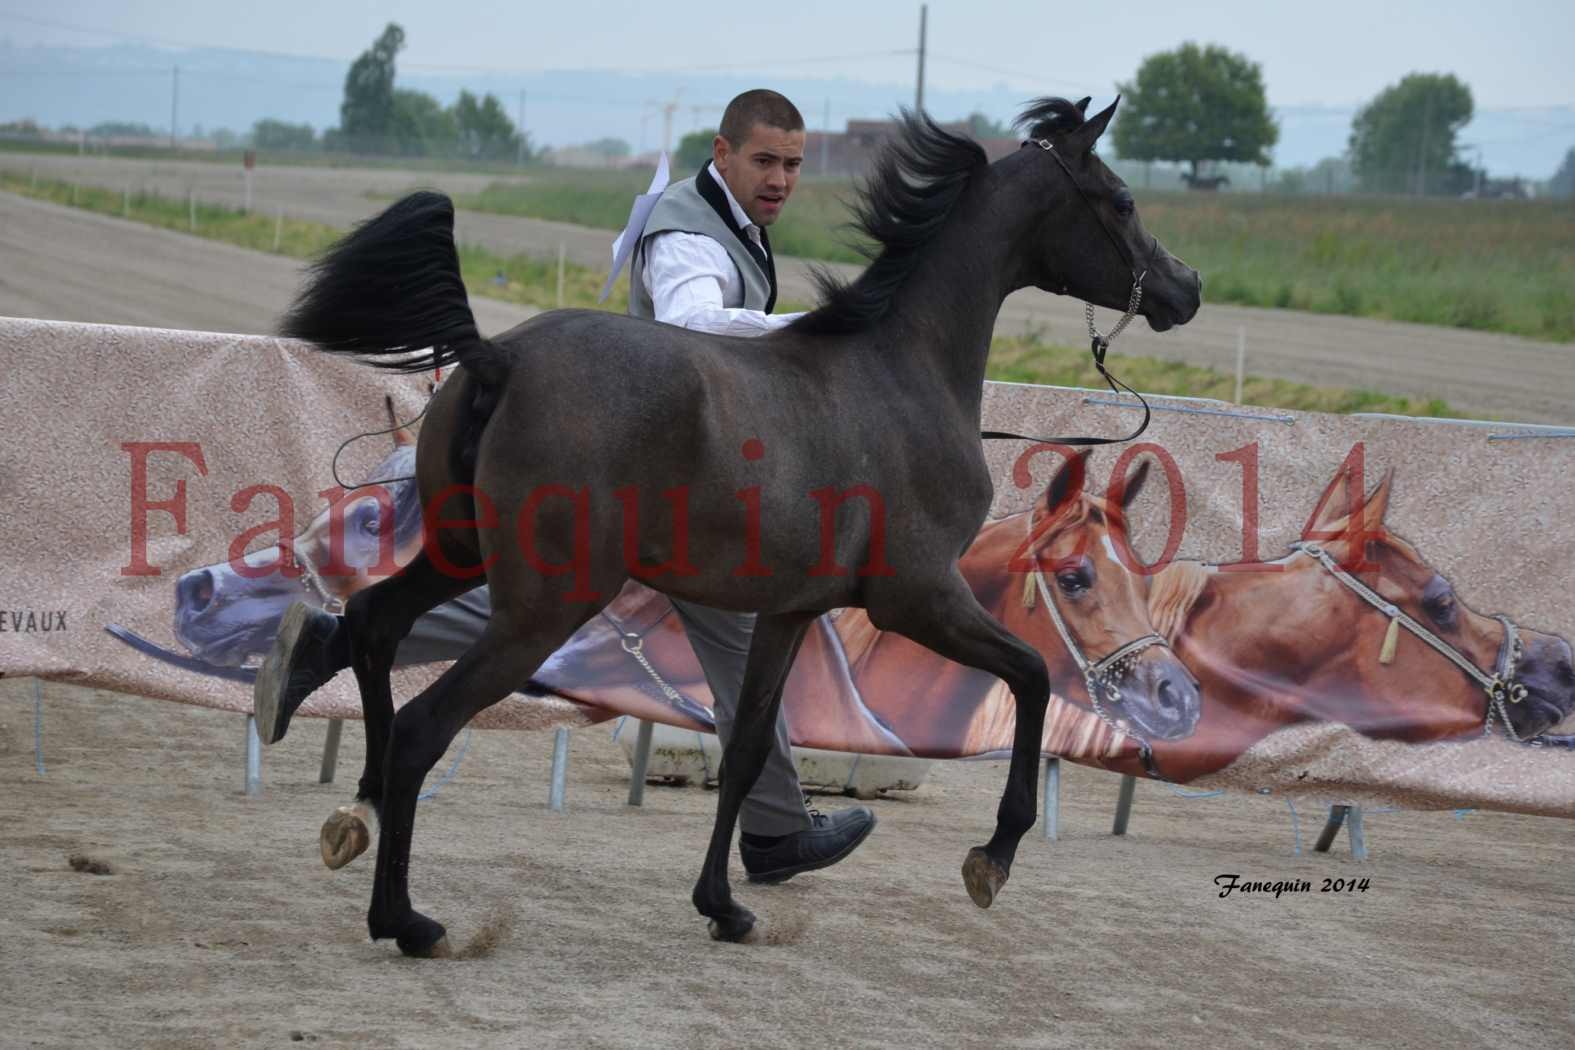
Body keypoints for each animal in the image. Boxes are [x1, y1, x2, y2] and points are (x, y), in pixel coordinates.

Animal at [280, 94, 1190, 957]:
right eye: (1119, 199)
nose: (1184, 288)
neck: (901, 372)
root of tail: (496, 358)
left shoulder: (789, 612)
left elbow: (749, 746)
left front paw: (724, 905)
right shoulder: (920, 598)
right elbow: (1031, 675)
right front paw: (991, 858)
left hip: (461, 555)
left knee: (373, 621)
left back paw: (347, 794)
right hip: (542, 607)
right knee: (420, 728)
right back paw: (405, 919)